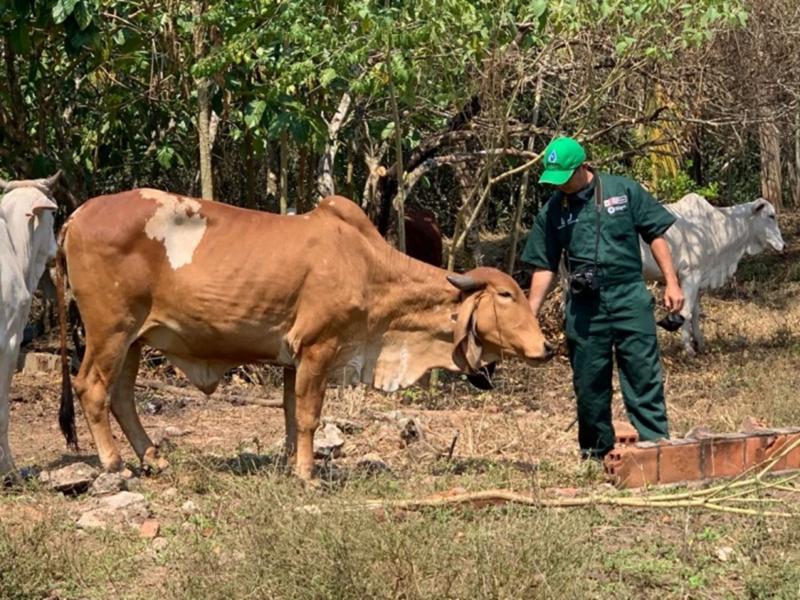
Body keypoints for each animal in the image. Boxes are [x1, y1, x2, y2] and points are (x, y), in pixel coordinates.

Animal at [57, 190, 552, 480]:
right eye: (506, 294)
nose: (546, 348)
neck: (369, 267)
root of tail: (75, 215)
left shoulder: (294, 360)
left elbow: (292, 415)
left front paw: (294, 462)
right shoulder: (318, 348)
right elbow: (311, 415)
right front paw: (308, 474)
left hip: (135, 340)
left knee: (122, 397)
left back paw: (152, 458)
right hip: (110, 330)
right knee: (92, 388)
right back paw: (114, 464)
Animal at [640, 192, 784, 354]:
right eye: (771, 216)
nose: (783, 245)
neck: (714, 227)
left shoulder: (697, 278)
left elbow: (695, 312)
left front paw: (700, 344)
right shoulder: (690, 274)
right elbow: (686, 311)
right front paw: (688, 349)